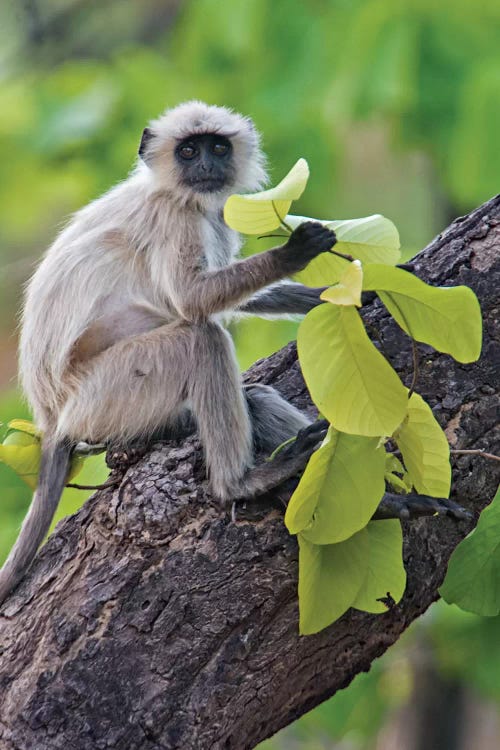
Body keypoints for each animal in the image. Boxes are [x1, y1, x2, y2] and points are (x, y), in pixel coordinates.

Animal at [0, 101, 336, 604]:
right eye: (188, 150)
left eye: (218, 147)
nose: (206, 165)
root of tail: (51, 420)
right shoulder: (175, 218)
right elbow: (192, 301)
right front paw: (295, 253)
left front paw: (342, 294)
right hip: (108, 392)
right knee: (202, 339)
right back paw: (239, 483)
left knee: (253, 396)